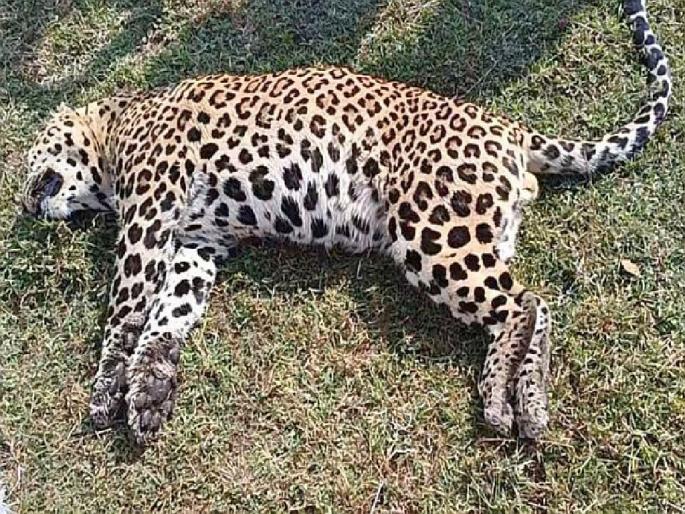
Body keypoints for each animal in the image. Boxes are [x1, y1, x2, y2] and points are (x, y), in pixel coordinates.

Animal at [19, 0, 671, 445]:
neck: (113, 130)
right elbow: (168, 316)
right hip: (484, 231)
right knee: (537, 304)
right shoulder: (197, 244)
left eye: (30, 155)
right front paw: (151, 390)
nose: (25, 207)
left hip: (433, 229)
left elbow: (124, 312)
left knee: (524, 303)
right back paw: (526, 400)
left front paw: (106, 389)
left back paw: (505, 400)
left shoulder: (149, 218)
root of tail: (510, 128)